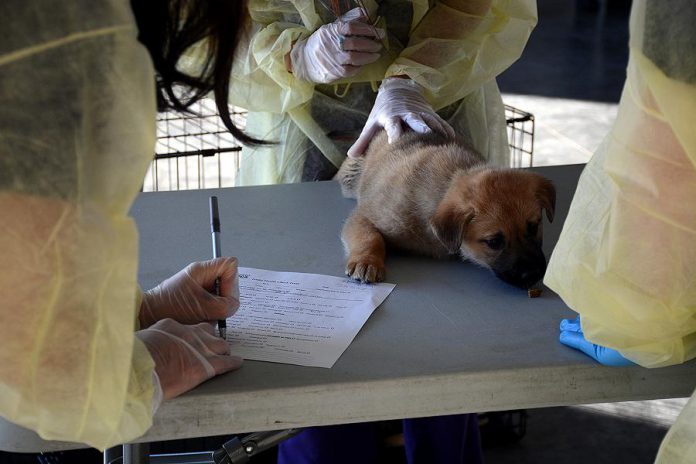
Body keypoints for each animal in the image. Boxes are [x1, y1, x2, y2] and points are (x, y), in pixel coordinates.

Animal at [334, 130, 556, 288]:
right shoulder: (366, 216)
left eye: (534, 227)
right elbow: (370, 237)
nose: (534, 274)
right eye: (493, 242)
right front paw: (367, 261)